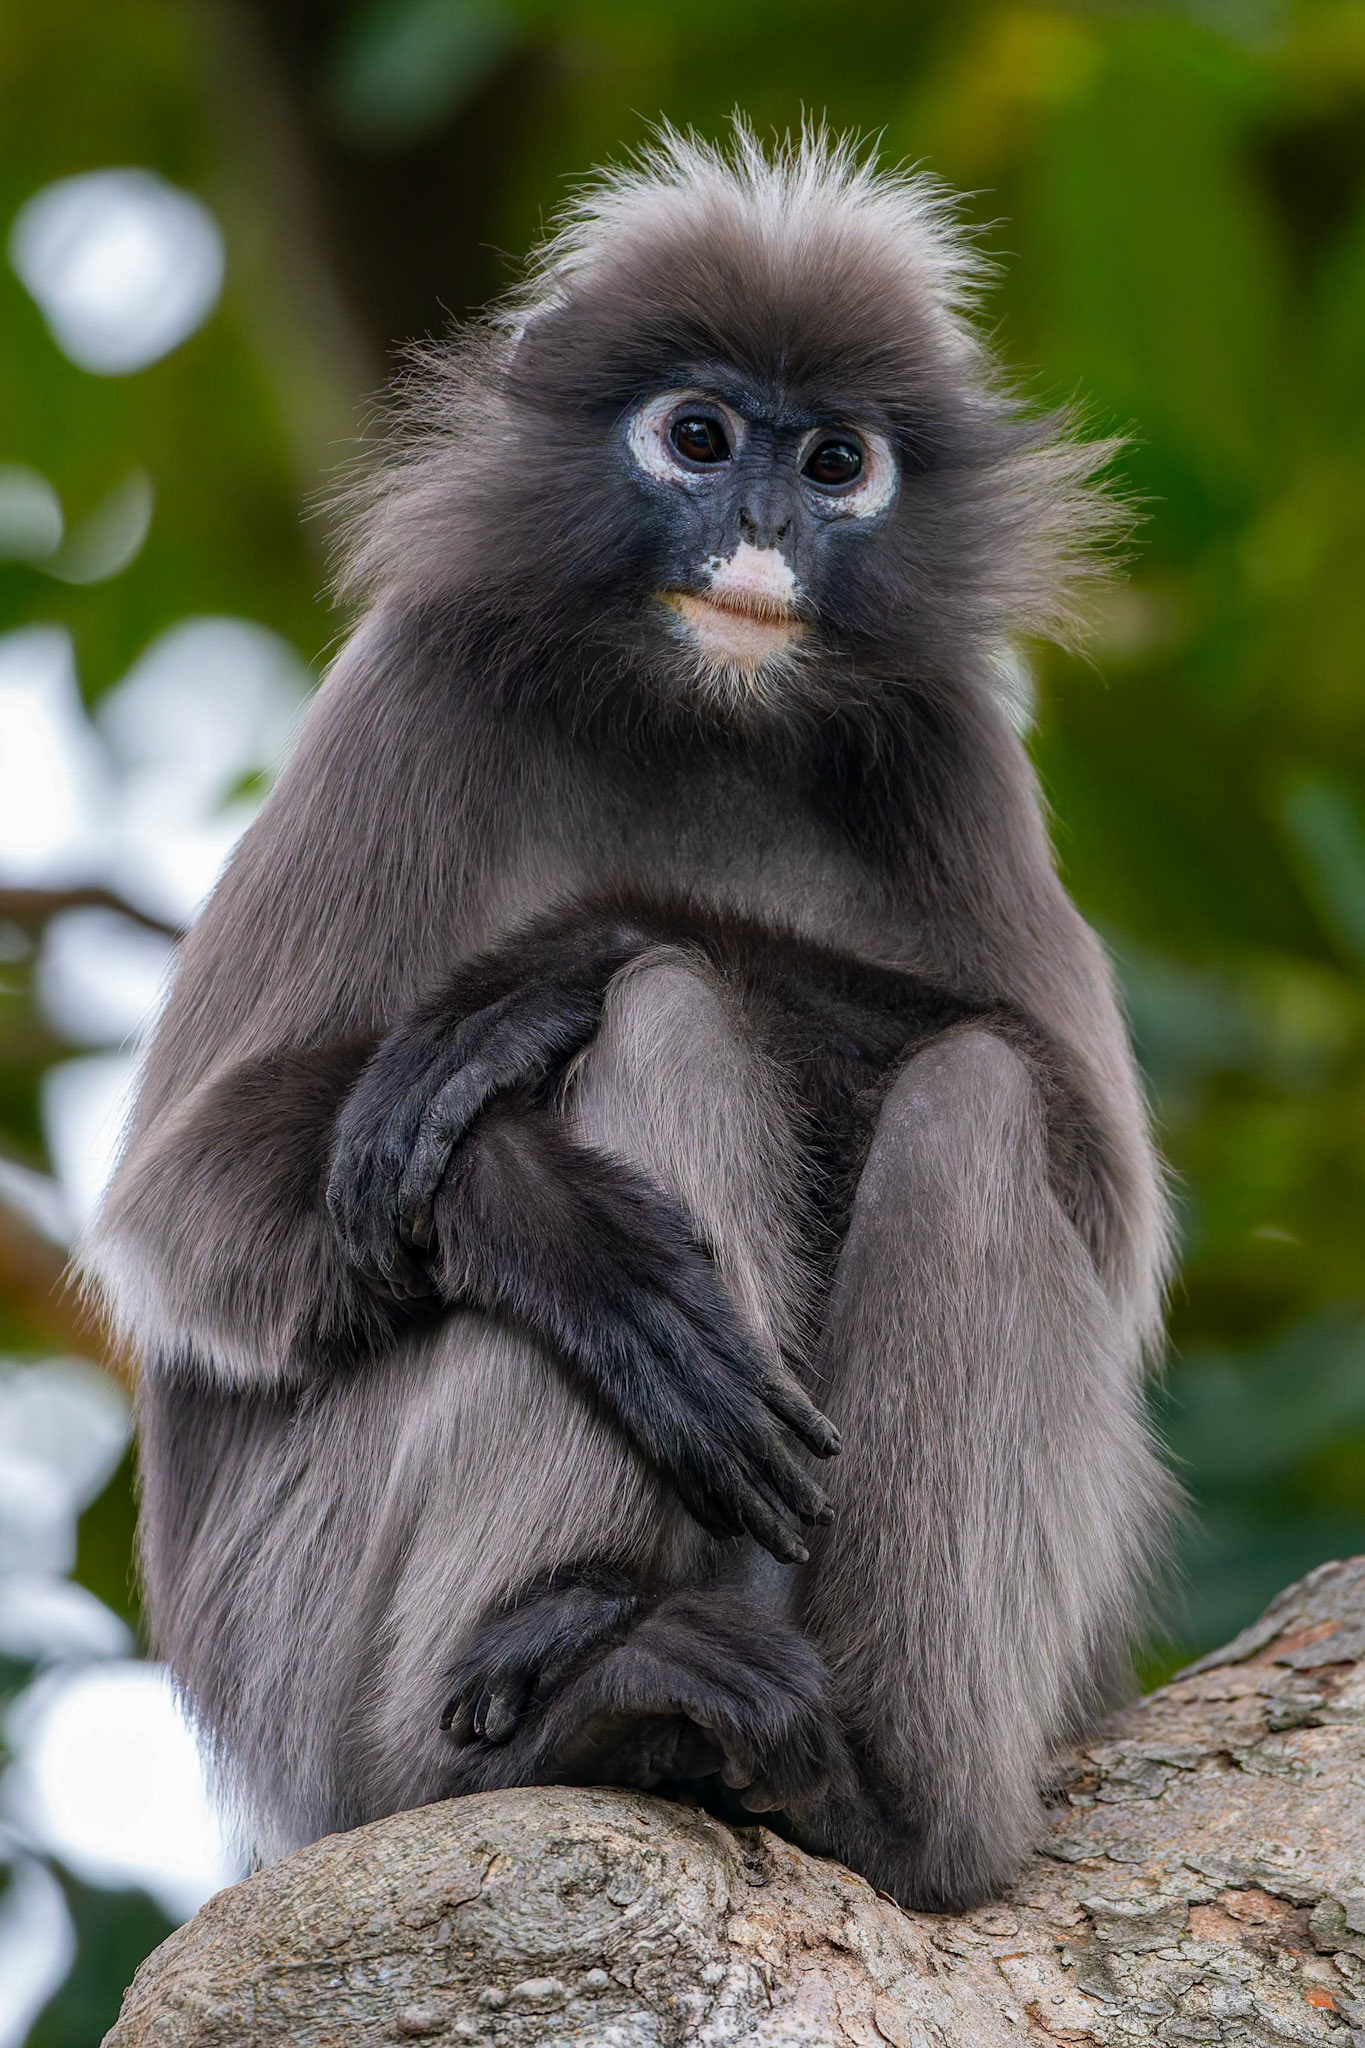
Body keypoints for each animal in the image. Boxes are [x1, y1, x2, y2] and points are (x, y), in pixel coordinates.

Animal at [89, 125, 1173, 1912]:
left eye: (833, 463)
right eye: (699, 436)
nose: (759, 519)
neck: (696, 711)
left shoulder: (949, 741)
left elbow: (1096, 1172)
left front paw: (556, 959)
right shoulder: (416, 678)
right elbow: (179, 1209)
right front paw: (554, 1214)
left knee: (971, 1096)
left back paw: (887, 1811)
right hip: (309, 1652)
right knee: (667, 1027)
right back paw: (566, 1695)